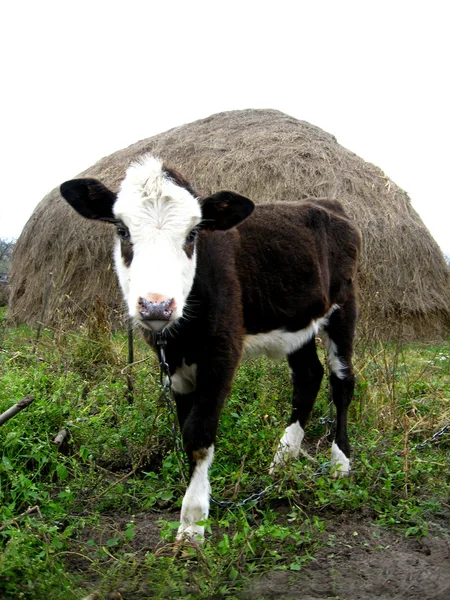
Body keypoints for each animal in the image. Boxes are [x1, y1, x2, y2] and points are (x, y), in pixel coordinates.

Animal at [59, 157, 362, 540]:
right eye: (122, 230)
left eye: (193, 234)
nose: (156, 306)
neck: (181, 334)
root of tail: (328, 203)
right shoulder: (173, 366)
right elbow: (185, 426)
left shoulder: (222, 353)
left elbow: (198, 433)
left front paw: (192, 523)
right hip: (298, 321)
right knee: (308, 376)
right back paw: (283, 459)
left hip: (344, 307)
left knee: (342, 381)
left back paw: (340, 462)